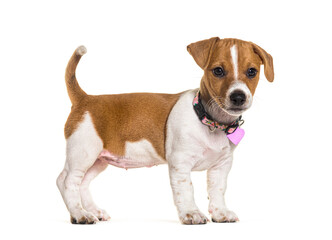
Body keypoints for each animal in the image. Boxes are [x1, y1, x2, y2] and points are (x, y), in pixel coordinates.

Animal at [57, 36, 274, 224]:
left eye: (252, 72)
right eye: (218, 71)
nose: (238, 97)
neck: (210, 121)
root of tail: (85, 98)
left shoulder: (221, 166)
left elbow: (217, 190)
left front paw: (220, 213)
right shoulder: (180, 163)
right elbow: (186, 190)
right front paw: (191, 213)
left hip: (98, 159)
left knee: (81, 183)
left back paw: (92, 210)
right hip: (83, 153)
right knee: (68, 182)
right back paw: (79, 214)